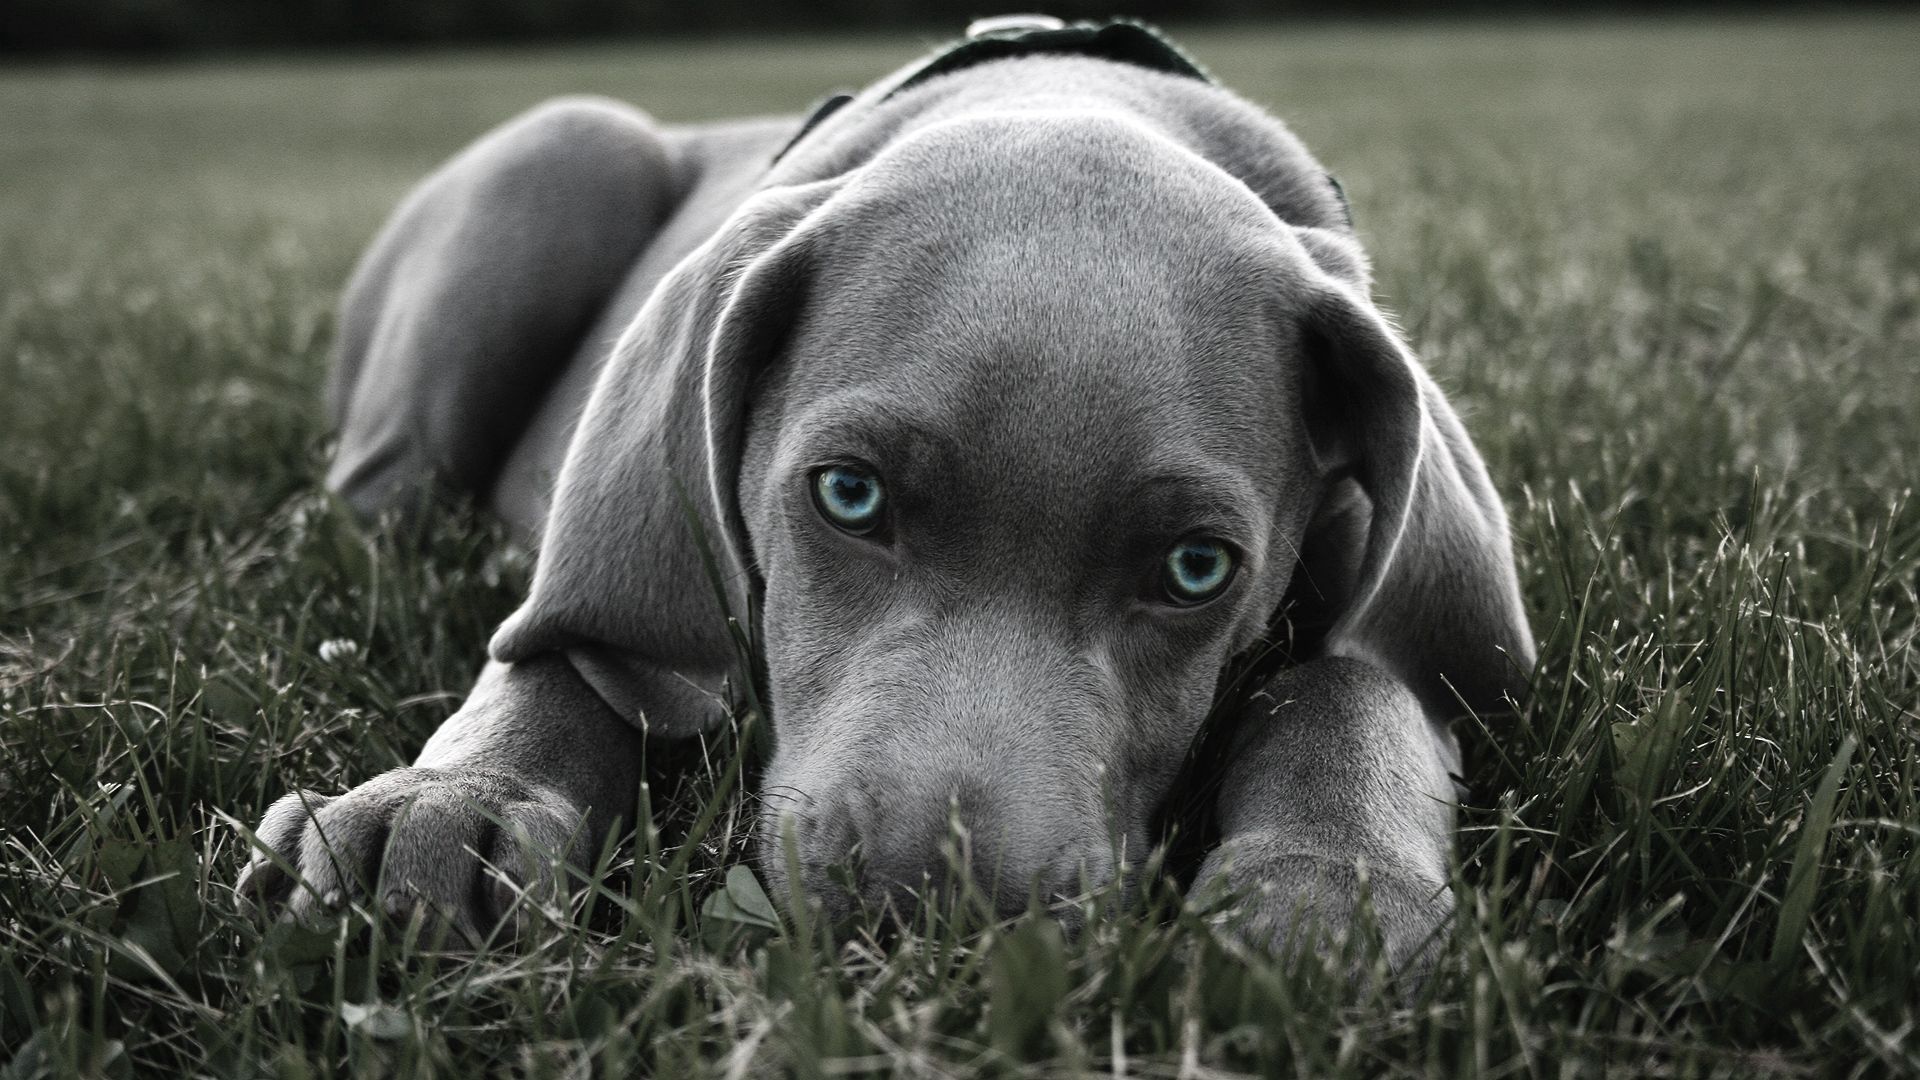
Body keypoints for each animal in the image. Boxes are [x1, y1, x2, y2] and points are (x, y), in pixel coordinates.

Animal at [236, 16, 1528, 960]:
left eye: (1196, 569)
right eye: (848, 496)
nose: (933, 907)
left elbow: (1363, 679)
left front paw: (1328, 884)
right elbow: (567, 649)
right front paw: (447, 805)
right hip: (562, 153)